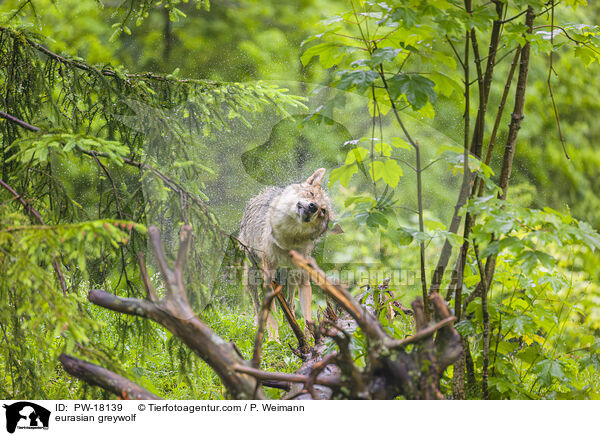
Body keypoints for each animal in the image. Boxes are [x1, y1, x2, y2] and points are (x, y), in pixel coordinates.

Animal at [238, 167, 336, 340]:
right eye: (311, 194)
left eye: (322, 211)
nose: (313, 206)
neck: (288, 238)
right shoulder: (268, 280)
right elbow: (272, 315)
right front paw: (274, 341)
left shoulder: (304, 280)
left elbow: (307, 317)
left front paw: (310, 340)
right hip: (253, 273)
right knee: (256, 305)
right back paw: (259, 330)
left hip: (291, 277)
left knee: (290, 304)